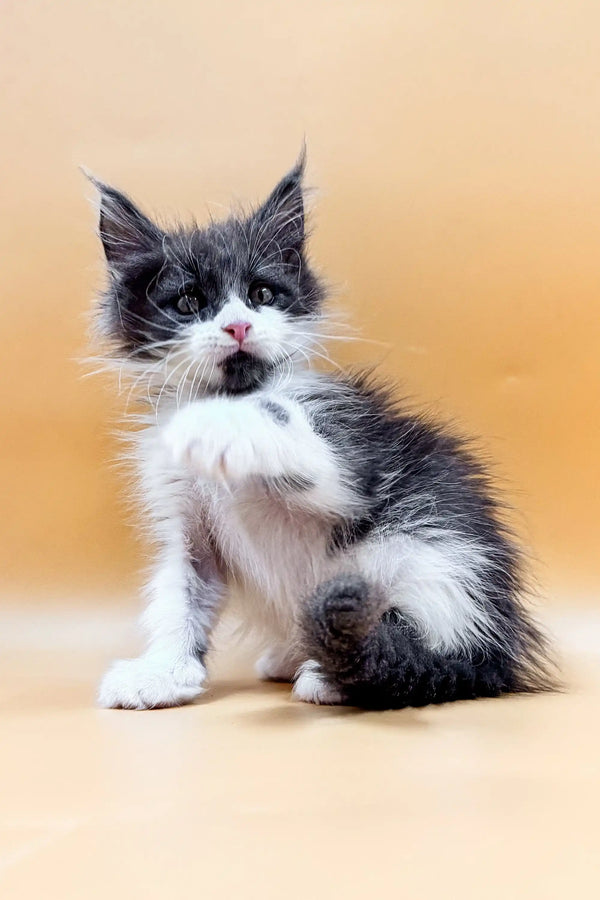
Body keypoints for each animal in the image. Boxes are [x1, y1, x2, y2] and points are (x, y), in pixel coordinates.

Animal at [90, 156, 552, 712]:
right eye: (189, 301)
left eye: (262, 294)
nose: (239, 327)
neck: (237, 389)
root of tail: (496, 655)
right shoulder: (184, 521)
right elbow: (181, 593)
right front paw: (161, 671)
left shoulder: (350, 453)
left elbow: (294, 432)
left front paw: (214, 425)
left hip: (433, 551)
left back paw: (339, 671)